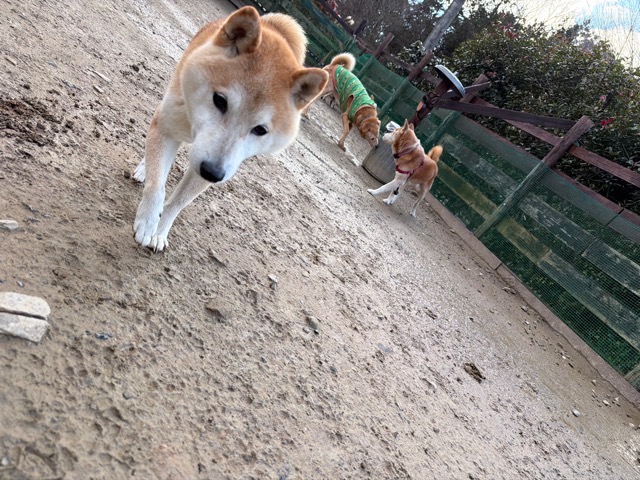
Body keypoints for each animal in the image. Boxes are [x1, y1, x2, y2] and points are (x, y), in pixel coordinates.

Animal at [132, 6, 328, 251]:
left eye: (260, 130)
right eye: (219, 100)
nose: (212, 172)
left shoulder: (220, 164)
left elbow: (178, 203)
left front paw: (159, 232)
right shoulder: (168, 128)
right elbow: (156, 185)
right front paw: (147, 223)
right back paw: (143, 169)